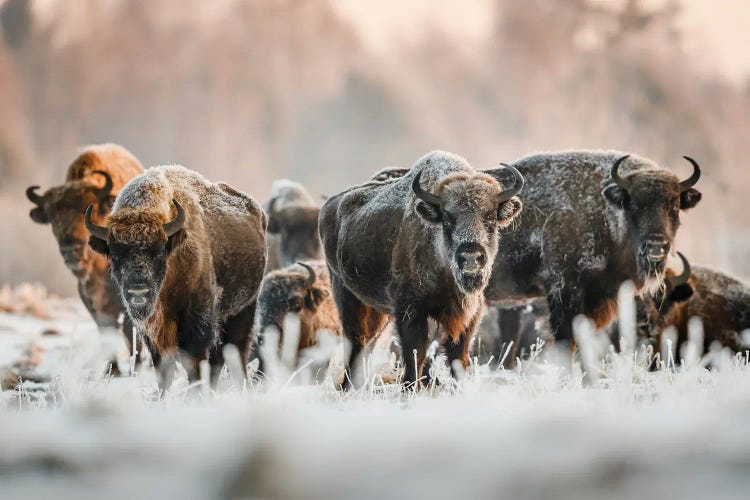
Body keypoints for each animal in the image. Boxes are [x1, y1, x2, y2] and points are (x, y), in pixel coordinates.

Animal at [84, 166, 268, 384]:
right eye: (115, 255)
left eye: (159, 252)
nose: (138, 292)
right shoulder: (154, 333)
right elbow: (163, 368)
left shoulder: (196, 320)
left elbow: (195, 363)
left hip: (244, 308)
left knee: (236, 353)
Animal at [318, 150, 524, 388]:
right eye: (448, 218)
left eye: (489, 216)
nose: (471, 256)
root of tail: (329, 207)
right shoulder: (410, 310)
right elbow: (416, 354)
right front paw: (410, 387)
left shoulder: (470, 314)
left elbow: (457, 357)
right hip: (347, 295)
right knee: (356, 342)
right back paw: (348, 387)